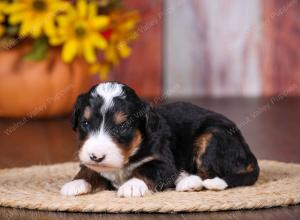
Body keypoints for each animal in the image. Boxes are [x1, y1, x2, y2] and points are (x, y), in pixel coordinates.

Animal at [59, 82, 258, 198]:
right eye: (85, 123)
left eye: (122, 126)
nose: (96, 156)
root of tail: (248, 152)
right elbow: (89, 169)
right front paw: (76, 183)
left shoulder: (163, 161)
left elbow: (147, 169)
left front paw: (132, 185)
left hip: (212, 136)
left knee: (208, 174)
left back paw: (187, 181)